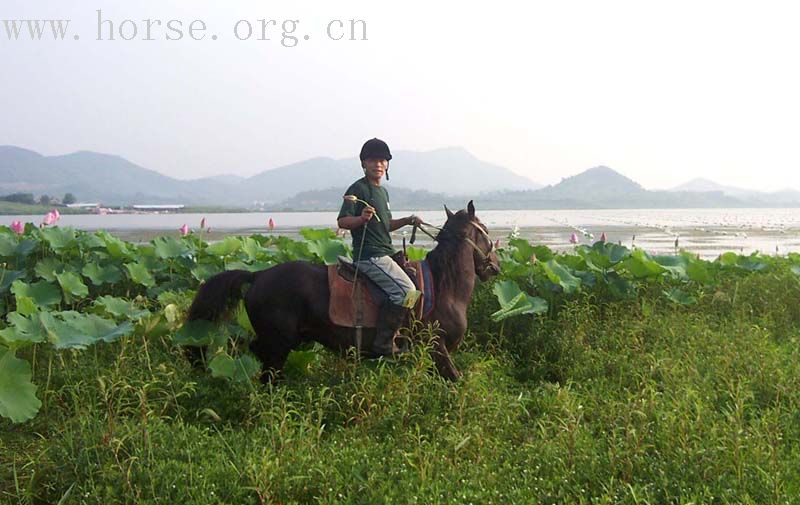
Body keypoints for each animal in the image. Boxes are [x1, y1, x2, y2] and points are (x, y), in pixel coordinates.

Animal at [188, 200, 500, 378]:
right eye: (485, 230)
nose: (495, 266)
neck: (444, 285)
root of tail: (259, 274)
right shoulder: (437, 347)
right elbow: (456, 381)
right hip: (278, 343)